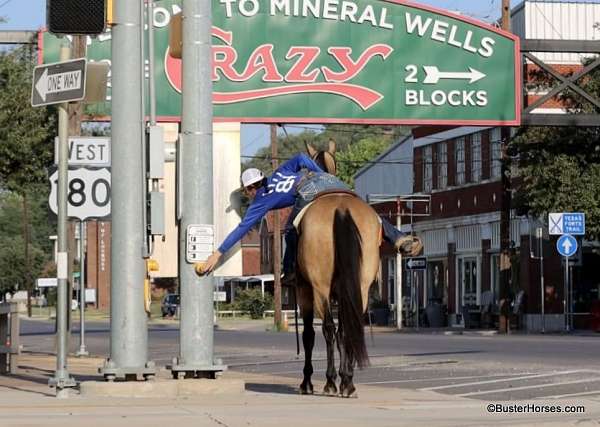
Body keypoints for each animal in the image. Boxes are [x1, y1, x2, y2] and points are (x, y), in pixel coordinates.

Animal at [292, 141, 382, 398]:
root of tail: (341, 208)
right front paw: (345, 377)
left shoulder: (305, 290)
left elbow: (309, 334)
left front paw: (308, 381)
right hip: (360, 286)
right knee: (348, 328)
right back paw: (347, 382)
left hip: (320, 287)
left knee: (329, 329)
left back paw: (331, 381)